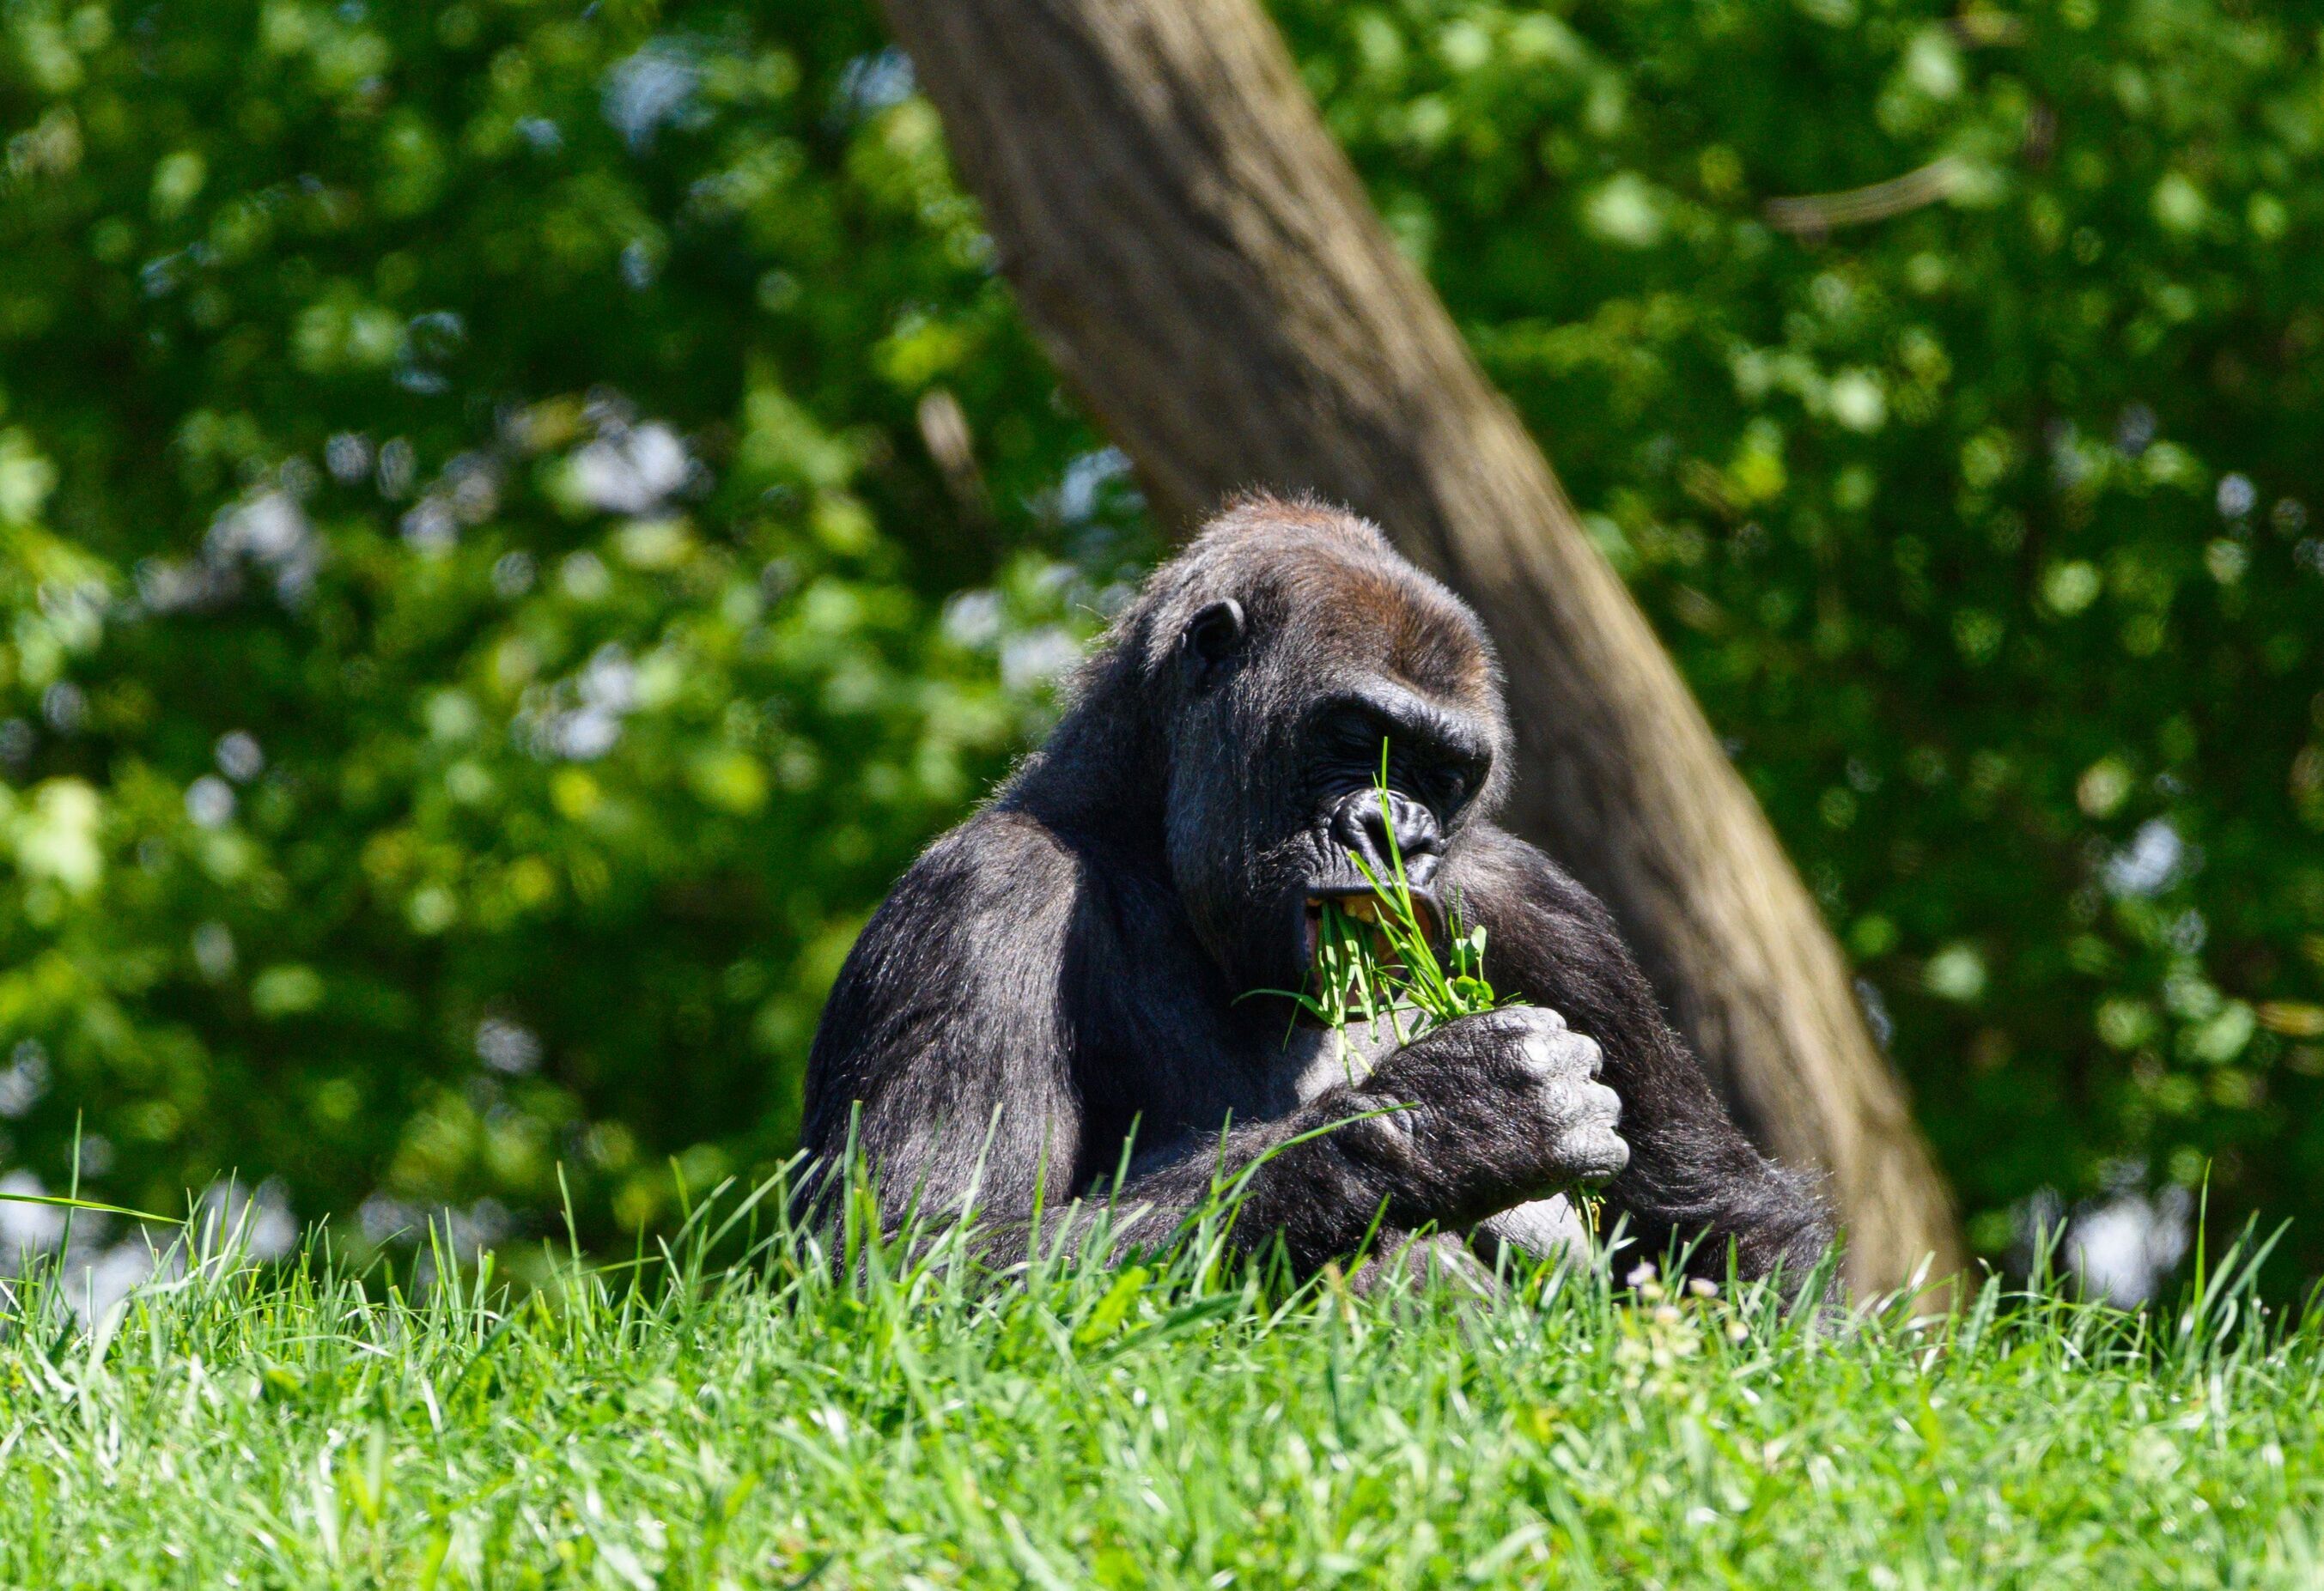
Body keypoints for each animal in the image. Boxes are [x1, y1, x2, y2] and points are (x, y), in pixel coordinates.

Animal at [799, 494, 1833, 1290]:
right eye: (1357, 737)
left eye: (1441, 774)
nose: (1400, 835)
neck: (1143, 832)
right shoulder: (978, 905)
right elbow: (918, 1255)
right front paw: (1442, 1122)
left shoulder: (1543, 907)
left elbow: (1726, 1220)